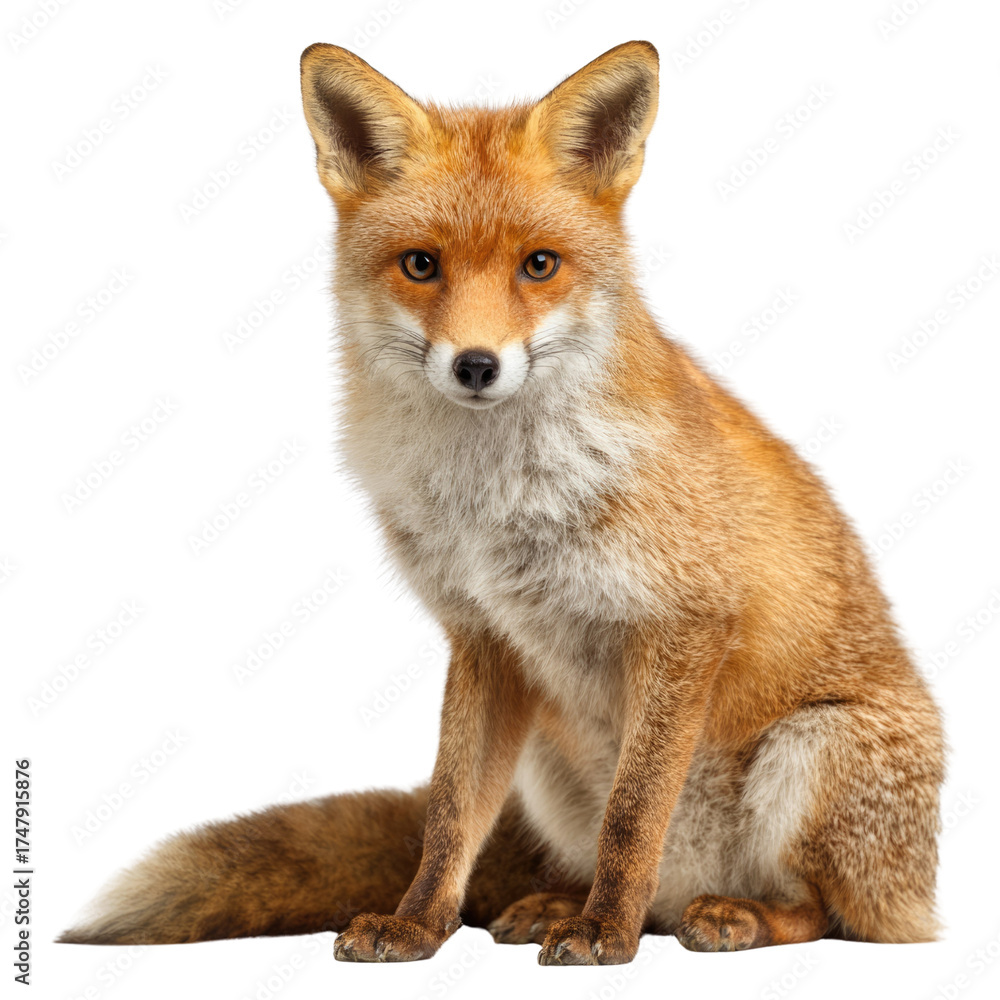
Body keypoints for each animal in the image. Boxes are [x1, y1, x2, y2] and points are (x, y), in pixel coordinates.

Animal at [59, 40, 944, 966]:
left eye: (539, 264)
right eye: (421, 264)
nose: (477, 364)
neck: (498, 502)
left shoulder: (686, 621)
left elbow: (634, 813)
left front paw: (604, 934)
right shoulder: (483, 636)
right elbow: (449, 816)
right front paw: (420, 926)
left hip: (816, 751)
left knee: (828, 913)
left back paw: (731, 917)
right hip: (549, 764)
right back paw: (561, 904)